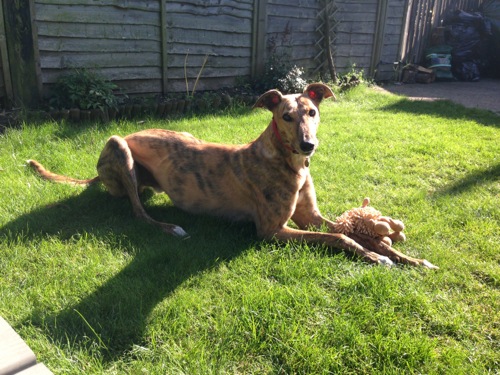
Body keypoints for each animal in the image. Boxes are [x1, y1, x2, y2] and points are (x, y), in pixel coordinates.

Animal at [27, 83, 436, 268]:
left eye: (312, 112)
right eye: (286, 116)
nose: (308, 146)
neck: (288, 163)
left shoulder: (310, 215)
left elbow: (351, 230)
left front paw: (405, 256)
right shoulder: (272, 230)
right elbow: (339, 238)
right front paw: (376, 257)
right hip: (118, 146)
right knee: (138, 212)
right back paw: (170, 227)